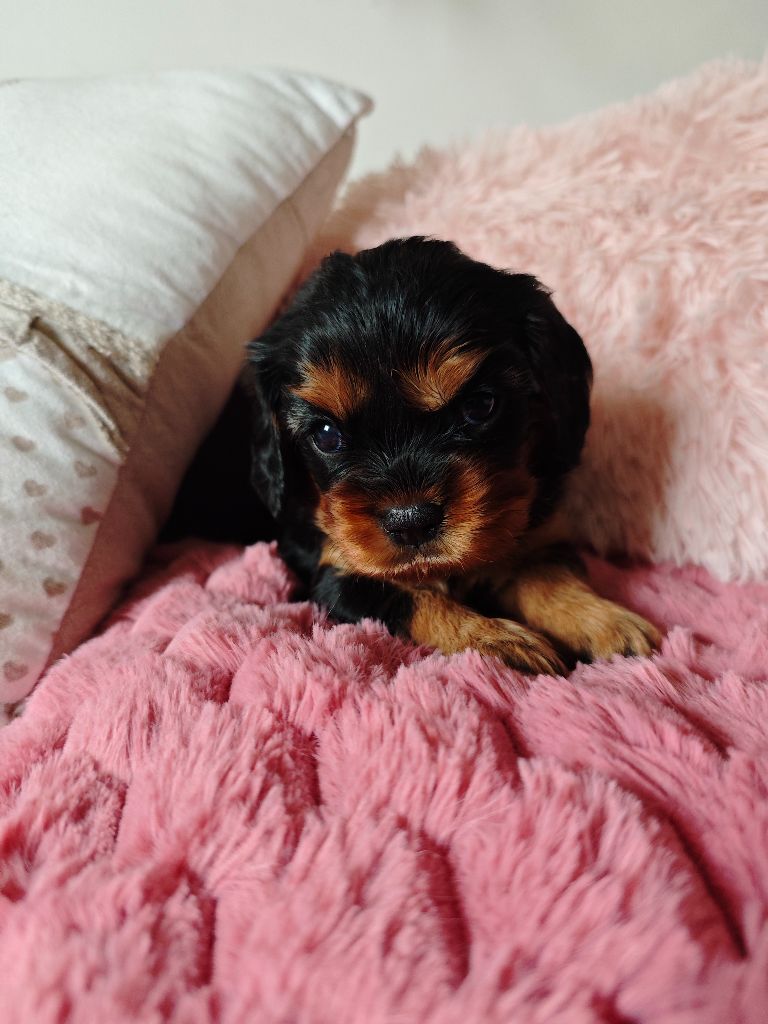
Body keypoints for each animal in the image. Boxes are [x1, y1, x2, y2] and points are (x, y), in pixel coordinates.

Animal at [245, 237, 660, 674]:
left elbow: (546, 575)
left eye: (479, 407)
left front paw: (603, 622)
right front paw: (496, 641)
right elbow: (415, 599)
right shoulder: (339, 573)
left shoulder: (535, 535)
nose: (410, 521)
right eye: (326, 435)